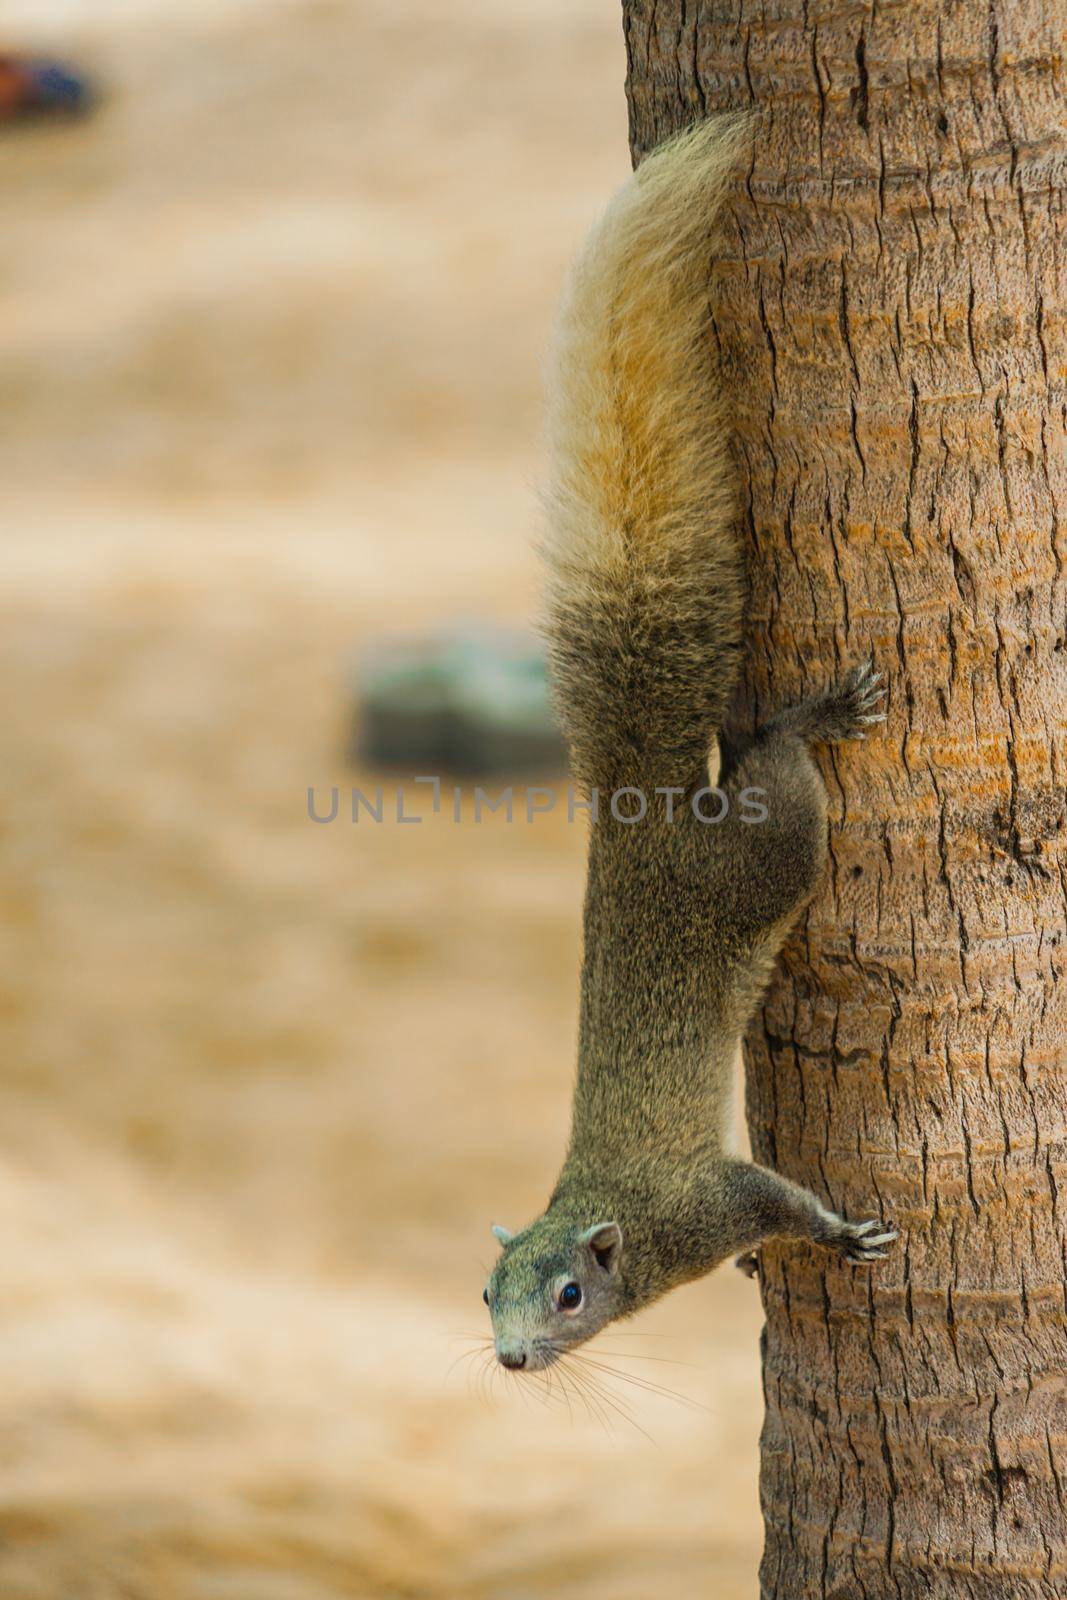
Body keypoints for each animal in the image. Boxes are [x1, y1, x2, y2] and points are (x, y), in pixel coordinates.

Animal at [483, 121, 895, 1376]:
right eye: (484, 1294)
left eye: (569, 1293)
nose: (510, 1361)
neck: (609, 1211)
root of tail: (635, 804)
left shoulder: (706, 1198)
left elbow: (777, 1199)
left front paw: (839, 1233)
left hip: (763, 853)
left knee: (774, 767)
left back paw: (813, 716)